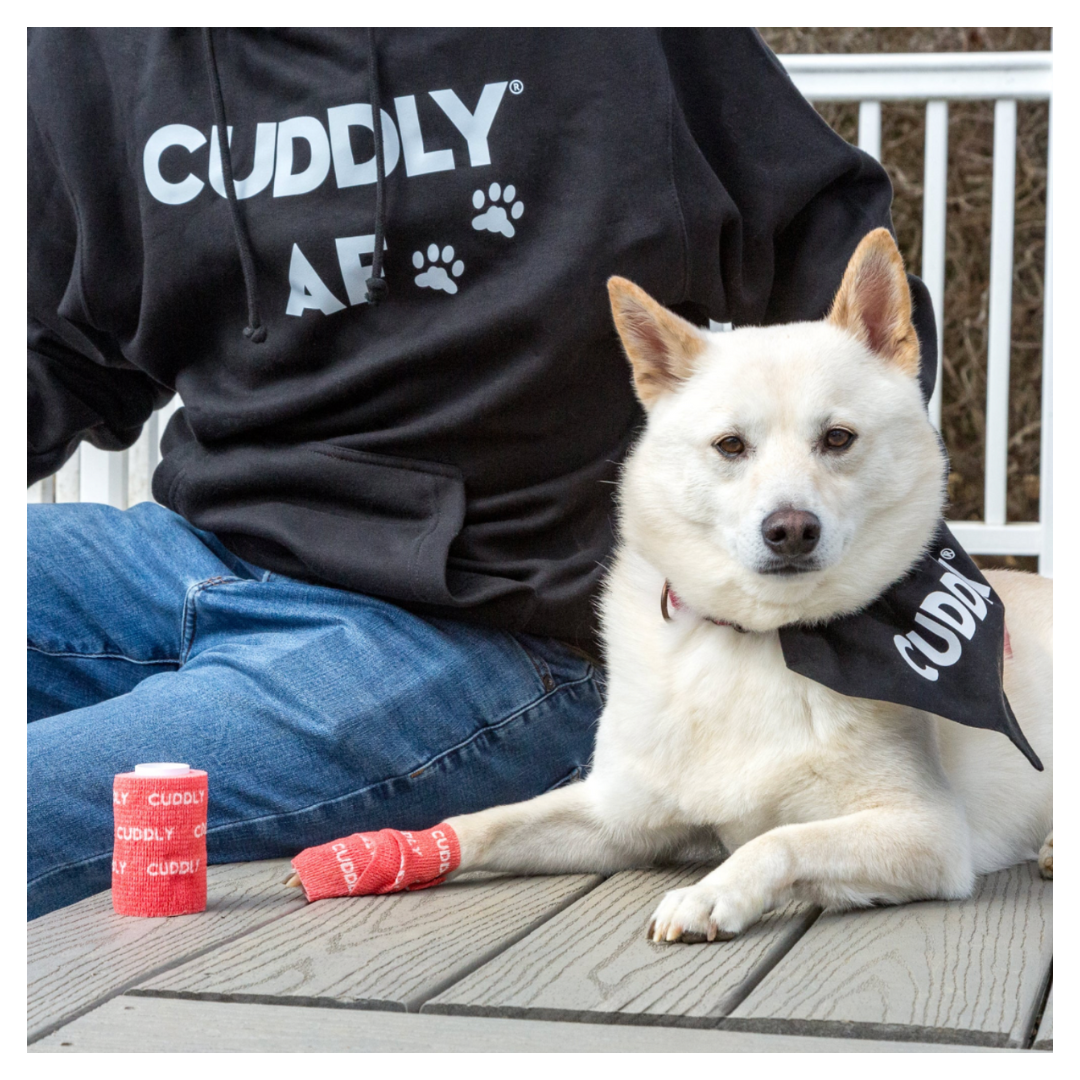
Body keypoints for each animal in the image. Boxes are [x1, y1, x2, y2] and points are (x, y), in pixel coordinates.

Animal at [434, 230, 1049, 946]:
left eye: (837, 438)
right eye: (730, 446)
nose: (791, 531)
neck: (760, 638)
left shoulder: (925, 832)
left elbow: (779, 839)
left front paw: (709, 894)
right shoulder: (616, 816)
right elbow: (487, 822)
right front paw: (387, 852)